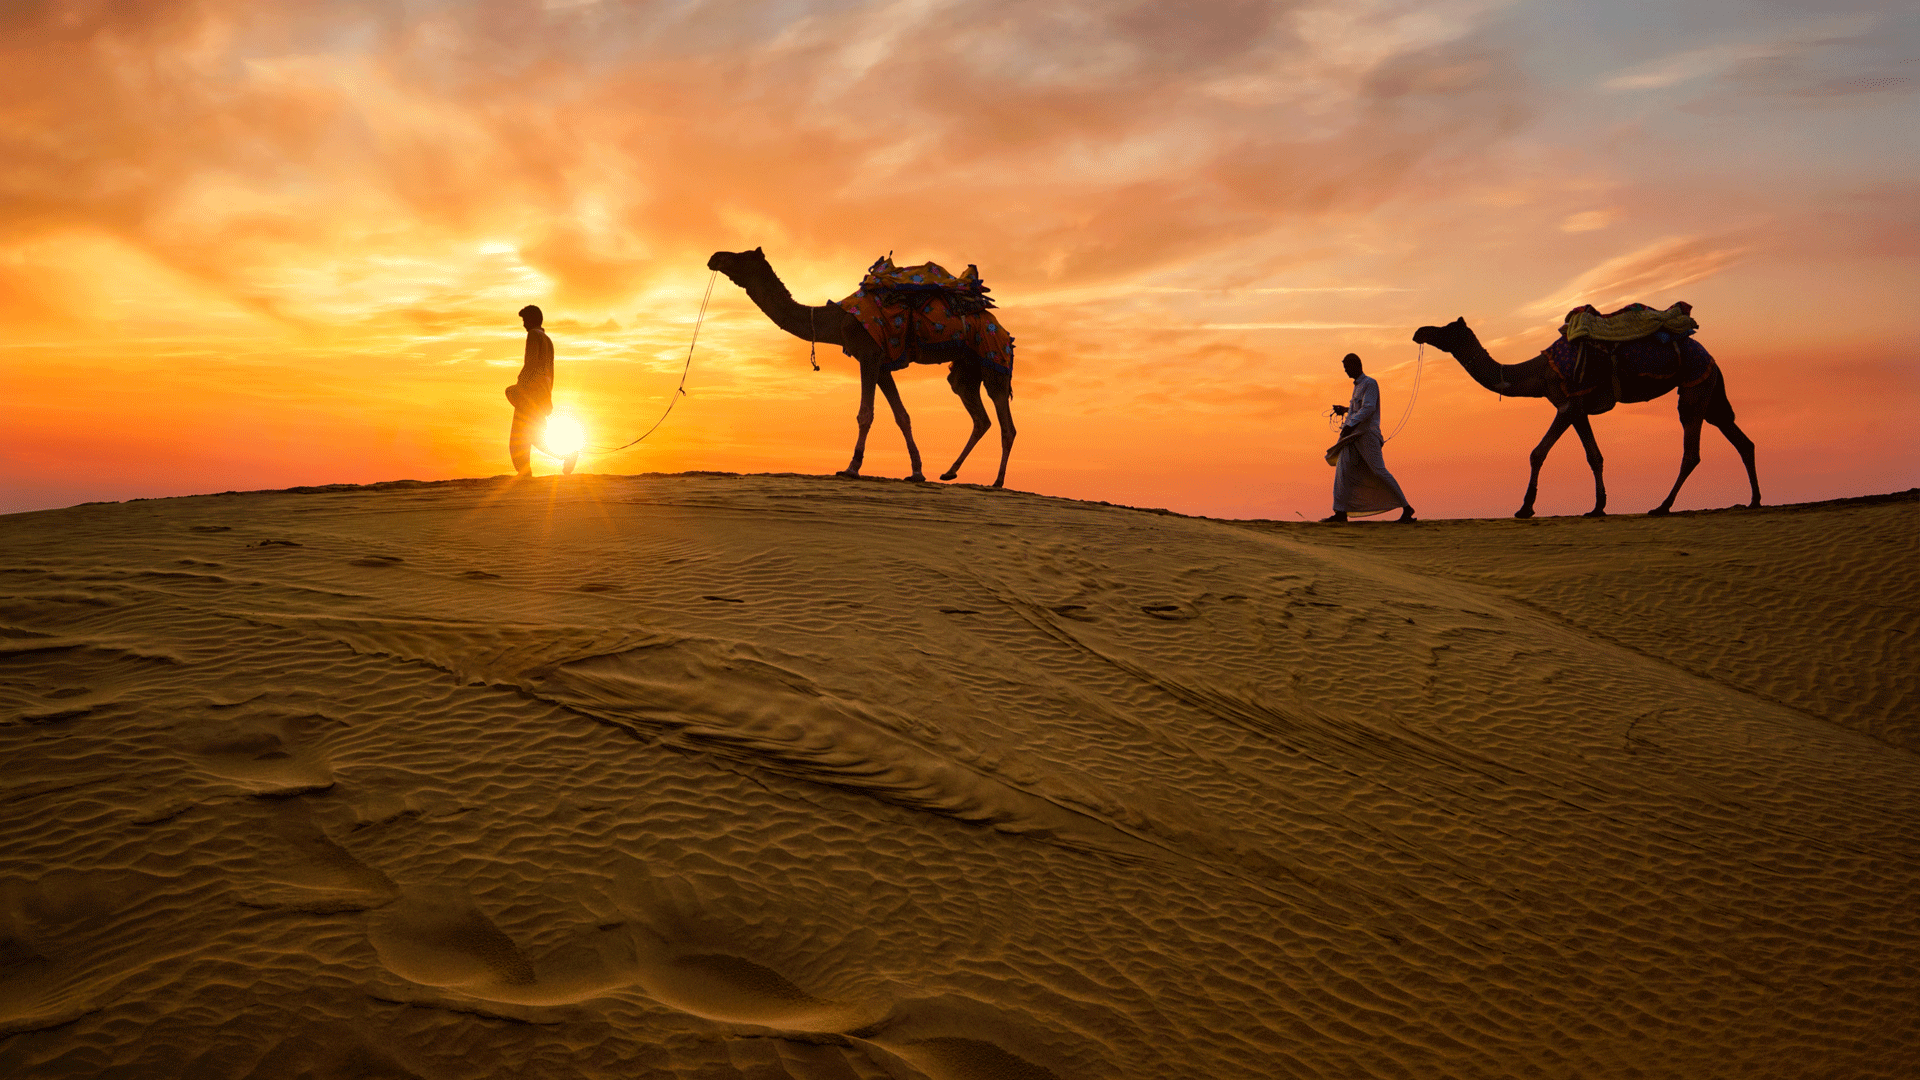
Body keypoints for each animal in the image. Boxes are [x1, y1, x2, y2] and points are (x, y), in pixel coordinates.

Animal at [706, 248, 1016, 487]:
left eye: (741, 256)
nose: (714, 257)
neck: (837, 320)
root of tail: (1003, 330)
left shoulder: (868, 354)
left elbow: (865, 413)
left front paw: (851, 467)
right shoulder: (882, 363)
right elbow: (902, 416)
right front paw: (917, 471)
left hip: (993, 358)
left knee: (1006, 424)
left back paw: (998, 482)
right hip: (966, 370)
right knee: (979, 415)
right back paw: (950, 472)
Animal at [1411, 317, 1760, 517]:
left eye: (1447, 329)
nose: (1419, 331)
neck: (1538, 372)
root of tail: (1711, 357)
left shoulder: (1567, 404)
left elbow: (1537, 453)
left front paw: (1525, 508)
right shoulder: (1577, 408)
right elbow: (1594, 456)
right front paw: (1597, 507)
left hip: (1693, 387)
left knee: (1691, 451)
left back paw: (1662, 506)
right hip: (1708, 390)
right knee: (1742, 440)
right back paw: (1754, 501)